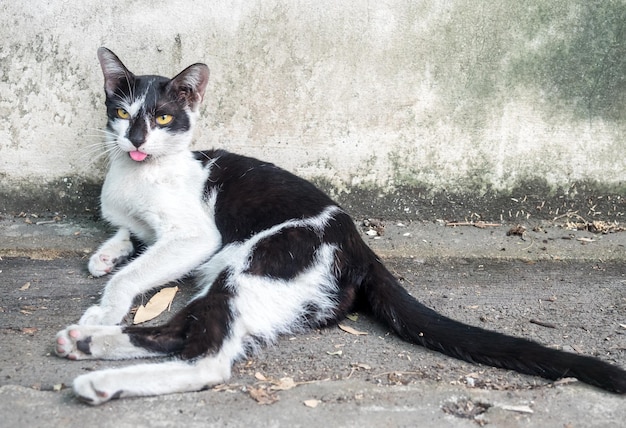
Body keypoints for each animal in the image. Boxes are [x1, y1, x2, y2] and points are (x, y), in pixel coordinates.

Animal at [54, 47, 624, 404]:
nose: (136, 141)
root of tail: (361, 247)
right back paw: (84, 343)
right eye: (122, 112)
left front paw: (106, 303)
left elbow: (134, 273)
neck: (134, 176)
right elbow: (126, 235)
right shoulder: (136, 220)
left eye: (164, 118)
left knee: (206, 355)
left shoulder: (196, 235)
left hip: (251, 261)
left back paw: (98, 372)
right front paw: (105, 254)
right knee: (184, 329)